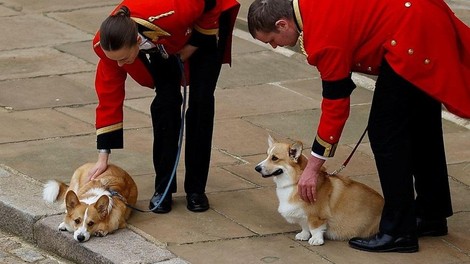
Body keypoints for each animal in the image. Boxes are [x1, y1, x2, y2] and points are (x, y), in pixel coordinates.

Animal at [255, 136, 384, 245]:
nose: (256, 168)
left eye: (274, 158)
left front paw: (316, 240)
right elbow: (305, 226)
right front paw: (303, 235)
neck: (295, 182)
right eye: (267, 155)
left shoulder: (316, 216)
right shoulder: (302, 214)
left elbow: (315, 228)